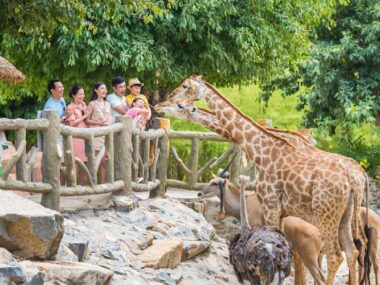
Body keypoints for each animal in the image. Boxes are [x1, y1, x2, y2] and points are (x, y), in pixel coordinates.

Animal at [155, 75, 368, 284]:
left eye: (184, 88)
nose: (159, 105)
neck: (261, 151)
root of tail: (355, 180)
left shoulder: (270, 205)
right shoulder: (282, 212)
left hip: (326, 216)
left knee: (336, 255)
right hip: (344, 215)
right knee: (353, 249)